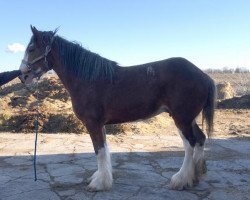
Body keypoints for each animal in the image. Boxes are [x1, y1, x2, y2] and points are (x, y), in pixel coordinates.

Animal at [18, 25, 216, 191]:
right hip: (189, 118)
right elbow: (104, 149)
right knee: (200, 139)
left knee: (190, 144)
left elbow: (99, 151)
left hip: (181, 118)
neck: (88, 79)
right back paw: (195, 176)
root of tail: (204, 76)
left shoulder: (93, 123)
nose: (22, 76)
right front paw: (101, 178)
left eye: (31, 49)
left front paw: (99, 184)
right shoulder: (100, 125)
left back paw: (181, 180)